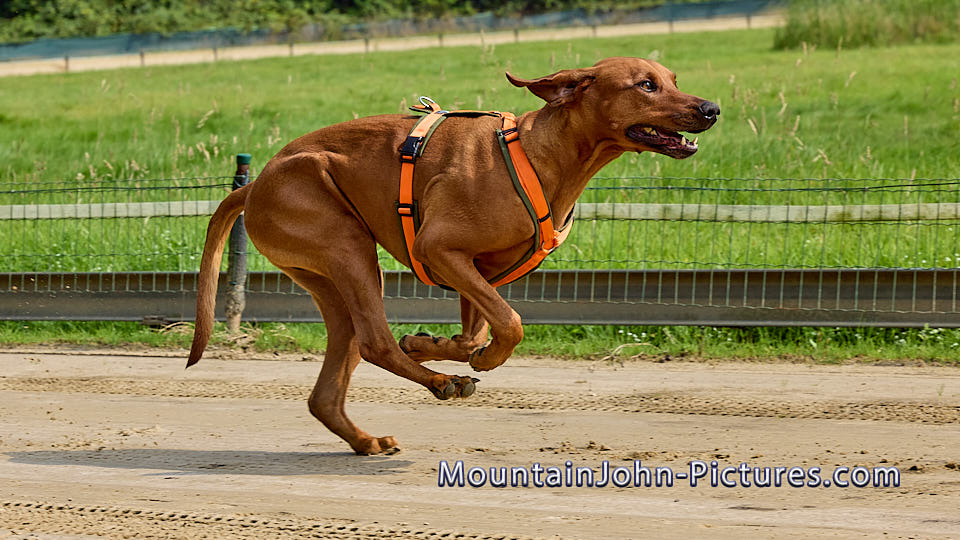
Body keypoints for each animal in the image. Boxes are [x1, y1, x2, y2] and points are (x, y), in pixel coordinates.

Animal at [188, 56, 719, 454]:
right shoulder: (438, 249)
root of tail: (254, 183)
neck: (541, 155)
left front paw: (434, 344)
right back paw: (441, 382)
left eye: (673, 80)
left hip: (330, 281)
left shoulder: (479, 272)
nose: (711, 107)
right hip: (347, 244)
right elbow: (511, 325)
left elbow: (474, 333)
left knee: (331, 384)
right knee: (375, 342)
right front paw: (474, 360)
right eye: (646, 85)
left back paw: (367, 438)